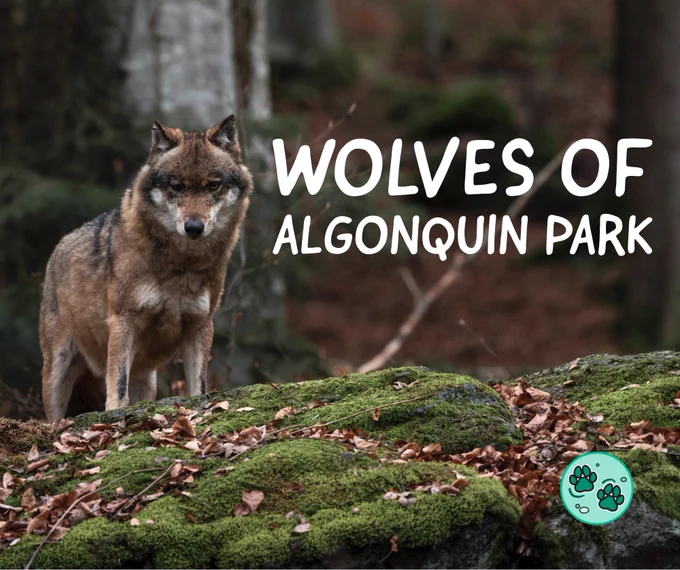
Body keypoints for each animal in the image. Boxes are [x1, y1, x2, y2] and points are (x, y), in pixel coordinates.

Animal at [40, 116, 252, 421]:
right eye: (176, 186)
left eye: (213, 186)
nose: (194, 227)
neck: (181, 265)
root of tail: (59, 246)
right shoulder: (123, 319)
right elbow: (117, 386)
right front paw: (114, 415)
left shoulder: (200, 324)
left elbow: (198, 387)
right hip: (58, 370)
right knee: (55, 417)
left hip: (145, 379)